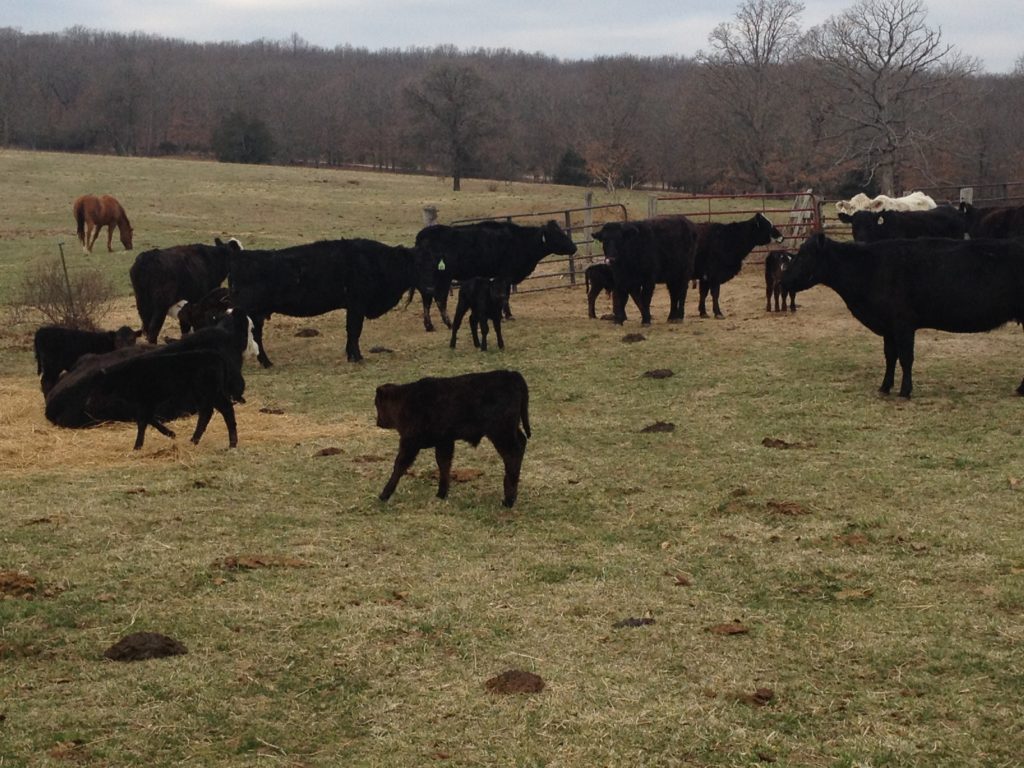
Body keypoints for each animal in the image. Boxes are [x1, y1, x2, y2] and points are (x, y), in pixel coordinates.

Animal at [228, 238, 435, 366]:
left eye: (433, 263)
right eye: (417, 265)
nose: (430, 287)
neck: (375, 262)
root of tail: (241, 256)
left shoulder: (352, 308)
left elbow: (351, 332)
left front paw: (351, 356)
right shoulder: (357, 305)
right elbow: (355, 331)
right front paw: (357, 357)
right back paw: (266, 362)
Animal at [375, 370, 531, 507]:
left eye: (377, 404)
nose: (378, 422)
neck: (405, 401)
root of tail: (511, 374)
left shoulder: (410, 442)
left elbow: (399, 466)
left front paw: (384, 494)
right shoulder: (444, 441)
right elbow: (444, 464)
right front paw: (441, 494)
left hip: (502, 433)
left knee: (512, 454)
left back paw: (509, 499)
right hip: (510, 431)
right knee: (521, 443)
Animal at [414, 219, 577, 331]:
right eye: (557, 235)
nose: (574, 247)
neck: (520, 241)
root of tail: (423, 235)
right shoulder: (506, 275)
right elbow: (505, 295)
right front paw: (508, 315)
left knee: (427, 299)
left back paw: (429, 325)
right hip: (444, 277)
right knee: (439, 299)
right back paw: (447, 323)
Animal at [780, 233, 1024, 398]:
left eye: (804, 256)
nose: (783, 280)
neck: (868, 268)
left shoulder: (903, 323)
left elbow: (906, 357)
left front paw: (905, 391)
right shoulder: (888, 326)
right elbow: (890, 356)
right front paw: (884, 387)